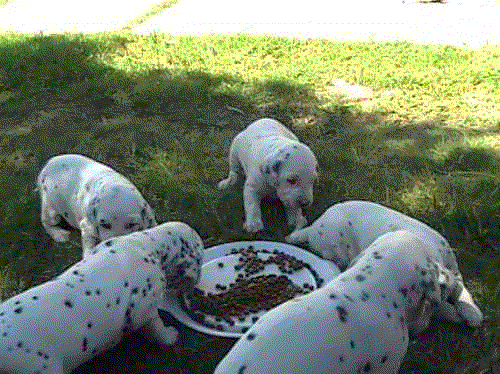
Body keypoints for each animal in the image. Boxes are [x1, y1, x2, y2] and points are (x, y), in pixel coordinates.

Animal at [286, 200, 484, 332]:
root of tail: (314, 227)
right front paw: (456, 314)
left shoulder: (456, 274)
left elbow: (463, 293)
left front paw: (472, 313)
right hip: (339, 248)